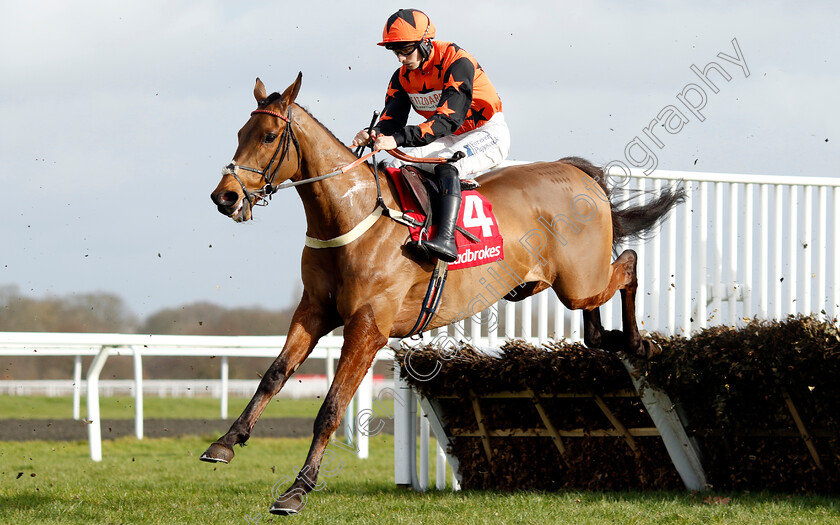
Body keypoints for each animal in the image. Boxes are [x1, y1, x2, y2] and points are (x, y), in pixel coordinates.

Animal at [207, 71, 684, 512]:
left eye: (269, 136)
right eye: (240, 134)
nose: (224, 197)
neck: (353, 214)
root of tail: (578, 173)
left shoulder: (368, 327)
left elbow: (331, 408)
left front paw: (297, 489)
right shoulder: (314, 312)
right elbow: (273, 376)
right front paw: (226, 442)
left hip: (582, 282)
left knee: (628, 265)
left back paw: (641, 343)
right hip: (573, 285)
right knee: (596, 326)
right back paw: (616, 338)